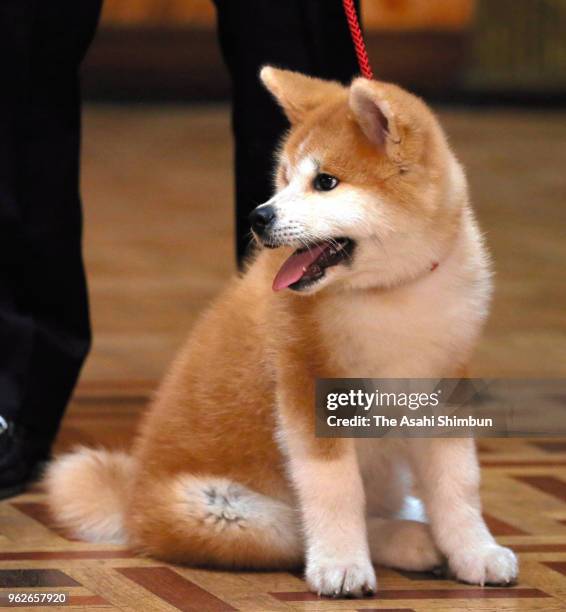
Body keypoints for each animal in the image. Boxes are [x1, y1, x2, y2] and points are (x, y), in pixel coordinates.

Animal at [46, 68, 520, 596]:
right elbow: (336, 491)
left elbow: (459, 483)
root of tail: (131, 505)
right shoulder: (309, 388)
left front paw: (475, 552)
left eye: (325, 182)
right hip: (227, 511)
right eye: (284, 178)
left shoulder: (443, 386)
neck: (387, 292)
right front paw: (341, 565)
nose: (258, 216)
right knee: (306, 526)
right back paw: (406, 540)